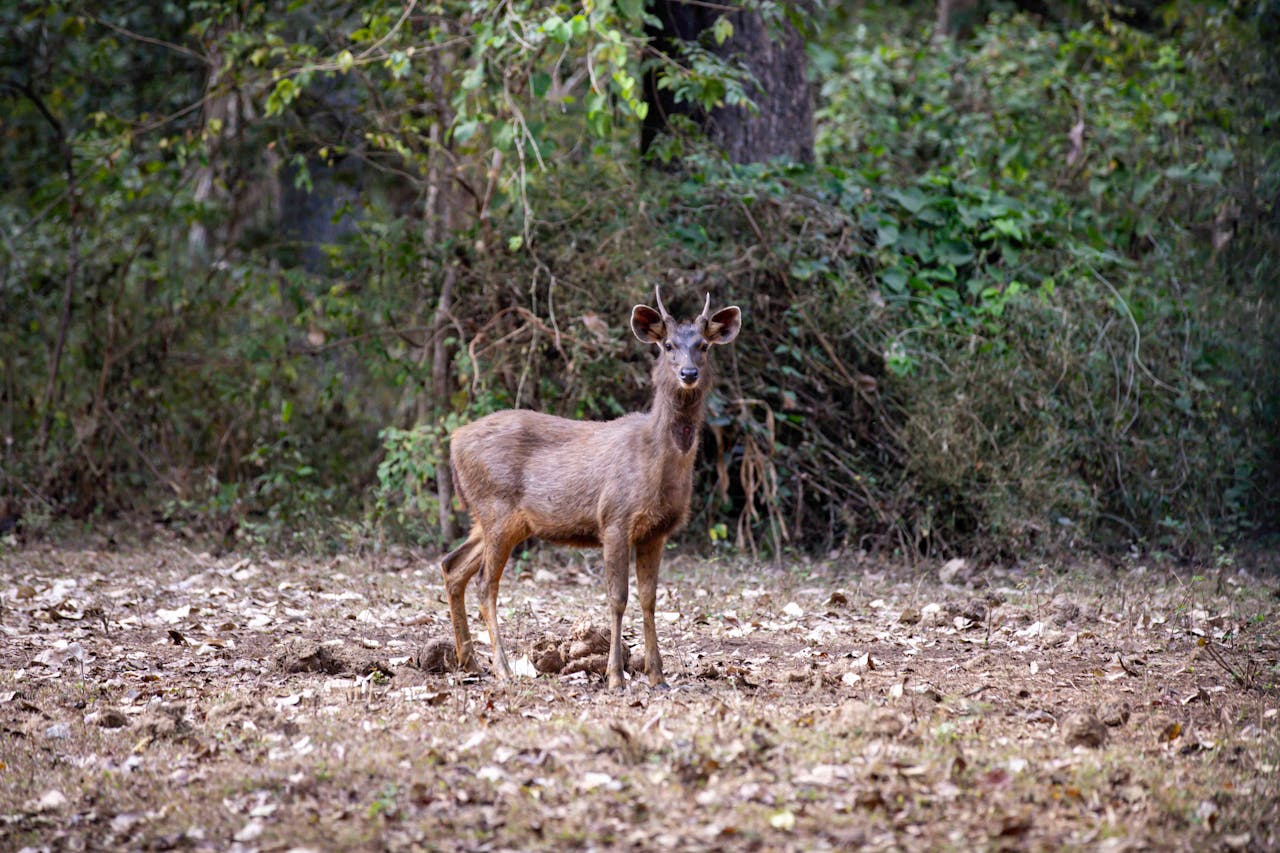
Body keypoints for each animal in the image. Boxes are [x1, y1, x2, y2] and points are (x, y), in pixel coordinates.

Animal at [440, 287, 742, 689]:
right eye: (667, 345)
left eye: (704, 345)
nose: (688, 373)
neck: (655, 462)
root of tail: (454, 441)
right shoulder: (614, 518)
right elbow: (618, 597)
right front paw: (616, 676)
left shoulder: (656, 531)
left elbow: (649, 599)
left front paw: (657, 675)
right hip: (497, 508)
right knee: (485, 583)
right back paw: (502, 668)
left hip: (495, 520)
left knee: (452, 565)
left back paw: (469, 662)